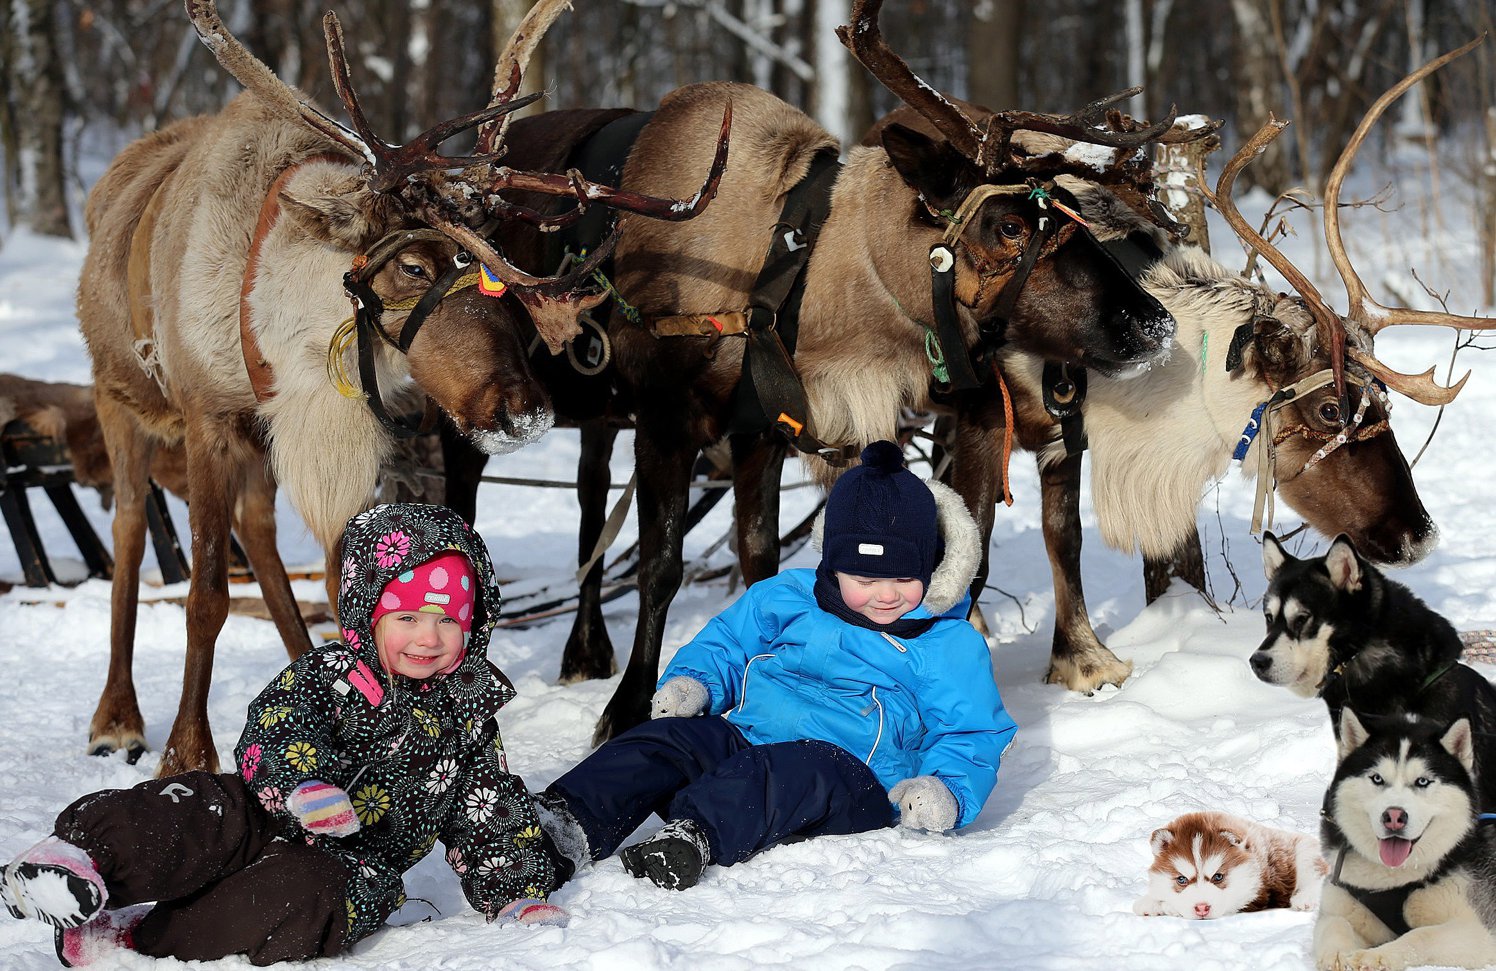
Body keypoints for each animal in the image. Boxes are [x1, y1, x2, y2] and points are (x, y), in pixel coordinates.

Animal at [1136, 807, 1328, 915]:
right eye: (1181, 879)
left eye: (1218, 877)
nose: (1202, 908)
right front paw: (1149, 901)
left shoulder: (1253, 893)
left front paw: (1169, 907)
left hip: (1306, 853)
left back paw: (1306, 899)